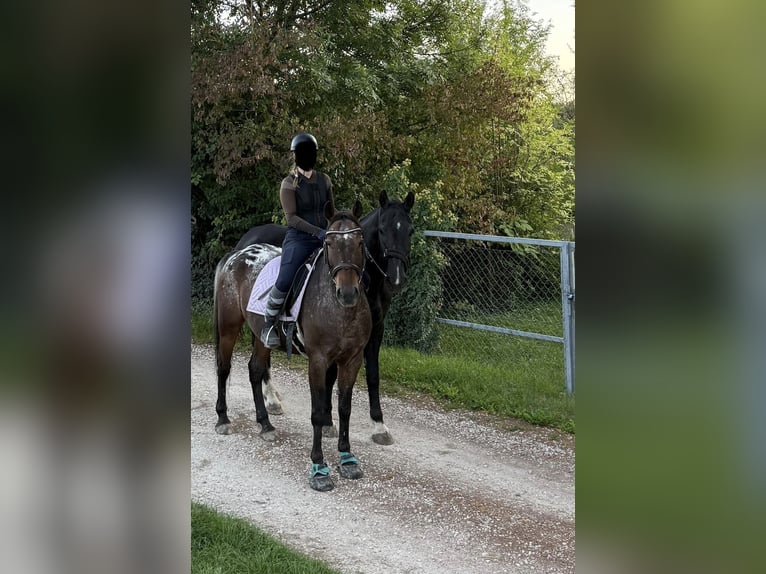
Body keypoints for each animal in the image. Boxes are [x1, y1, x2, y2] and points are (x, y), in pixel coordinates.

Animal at [213, 201, 371, 491]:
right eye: (329, 243)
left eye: (360, 241)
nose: (347, 293)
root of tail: (236, 255)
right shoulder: (318, 361)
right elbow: (318, 412)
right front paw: (319, 468)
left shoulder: (352, 360)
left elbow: (344, 408)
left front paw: (347, 458)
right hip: (229, 327)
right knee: (223, 368)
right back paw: (223, 419)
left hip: (261, 337)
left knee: (255, 369)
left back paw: (265, 424)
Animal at [233, 190, 414, 445]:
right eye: (381, 230)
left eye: (410, 231)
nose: (396, 279)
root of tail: (247, 239)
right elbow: (330, 376)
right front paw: (329, 422)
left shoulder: (375, 330)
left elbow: (372, 375)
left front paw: (379, 425)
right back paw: (271, 400)